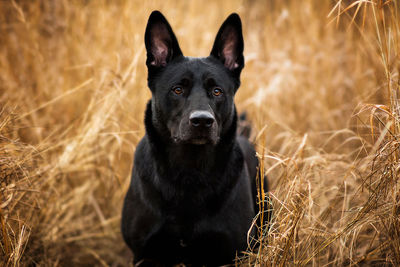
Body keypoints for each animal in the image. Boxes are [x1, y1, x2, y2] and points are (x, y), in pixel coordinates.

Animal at [121, 11, 266, 267]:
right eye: (177, 90)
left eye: (217, 91)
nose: (202, 121)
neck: (190, 171)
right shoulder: (145, 254)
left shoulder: (230, 254)